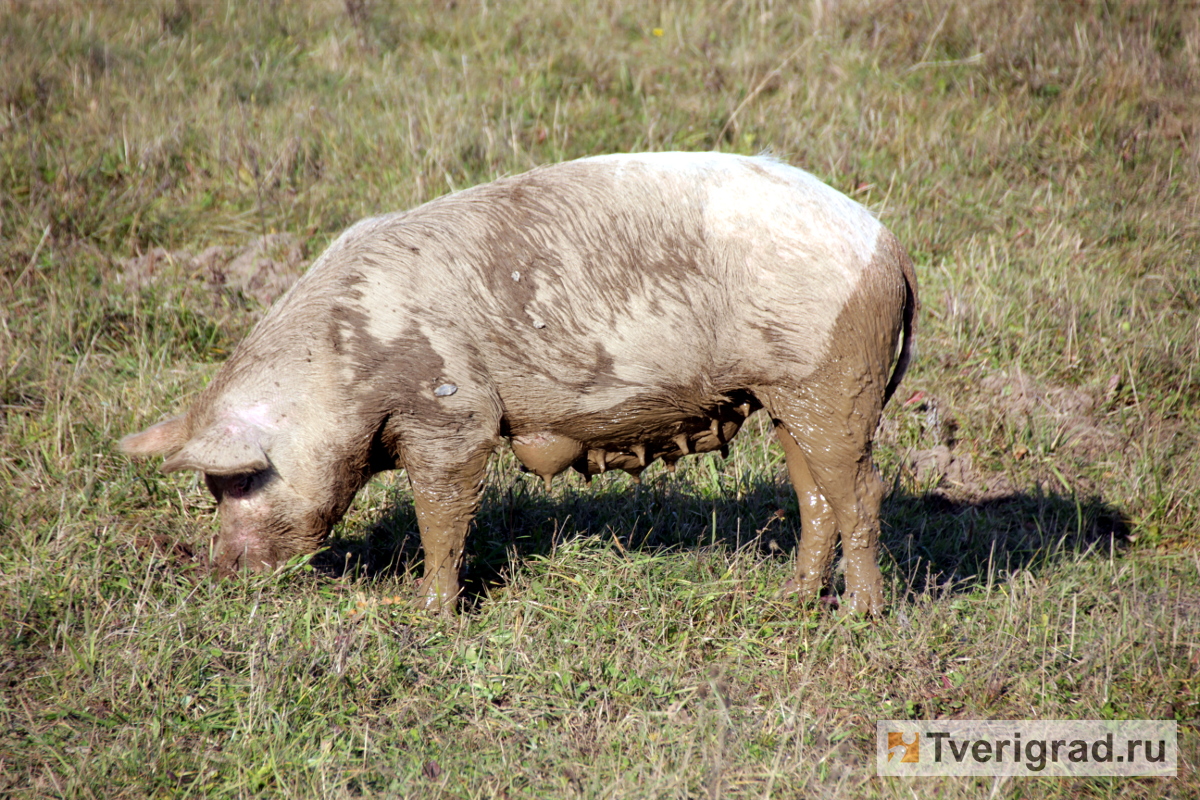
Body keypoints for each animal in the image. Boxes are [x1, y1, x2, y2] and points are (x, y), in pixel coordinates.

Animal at [119, 151, 916, 614]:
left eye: (240, 480)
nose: (221, 571)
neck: (343, 368)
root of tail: (889, 244)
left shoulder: (453, 412)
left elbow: (443, 512)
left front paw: (427, 614)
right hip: (794, 394)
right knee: (814, 489)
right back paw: (791, 600)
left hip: (836, 373)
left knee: (862, 490)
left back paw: (858, 617)